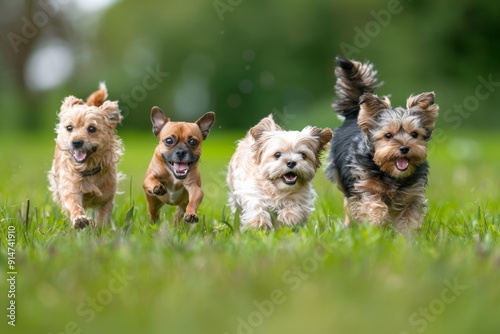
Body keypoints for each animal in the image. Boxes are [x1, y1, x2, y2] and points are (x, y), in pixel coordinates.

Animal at [48, 83, 123, 230]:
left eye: (92, 128)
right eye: (69, 127)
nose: (76, 142)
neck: (88, 169)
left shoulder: (107, 197)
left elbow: (103, 215)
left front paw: (99, 228)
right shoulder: (71, 187)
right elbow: (73, 204)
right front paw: (80, 219)